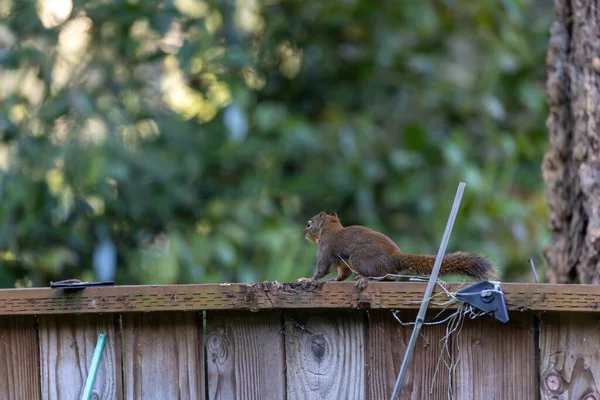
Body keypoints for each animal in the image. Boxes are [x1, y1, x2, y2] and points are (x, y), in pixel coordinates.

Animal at [298, 211, 500, 290]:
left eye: (309, 223)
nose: (303, 233)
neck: (330, 229)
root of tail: (394, 257)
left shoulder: (326, 250)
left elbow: (321, 269)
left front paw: (308, 279)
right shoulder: (342, 263)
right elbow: (342, 274)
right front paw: (335, 280)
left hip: (359, 258)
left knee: (379, 276)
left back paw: (365, 279)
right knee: (390, 277)